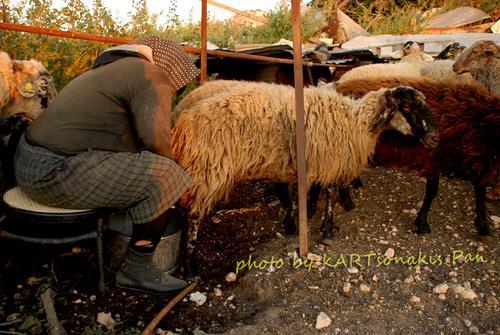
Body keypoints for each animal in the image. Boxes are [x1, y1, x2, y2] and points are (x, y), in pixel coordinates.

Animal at [172, 82, 438, 278]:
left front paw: (305, 219)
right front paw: (327, 230)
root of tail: (183, 121)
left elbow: (310, 193)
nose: (436, 139)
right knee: (192, 215)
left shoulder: (316, 164)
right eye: (408, 109)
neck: (355, 121)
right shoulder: (329, 161)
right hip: (208, 170)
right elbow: (329, 193)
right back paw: (190, 269)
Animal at [336, 78, 500, 238]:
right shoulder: (435, 159)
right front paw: (422, 223)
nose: (435, 139)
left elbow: (479, 189)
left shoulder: (471, 158)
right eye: (407, 108)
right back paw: (347, 201)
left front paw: (483, 225)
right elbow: (432, 192)